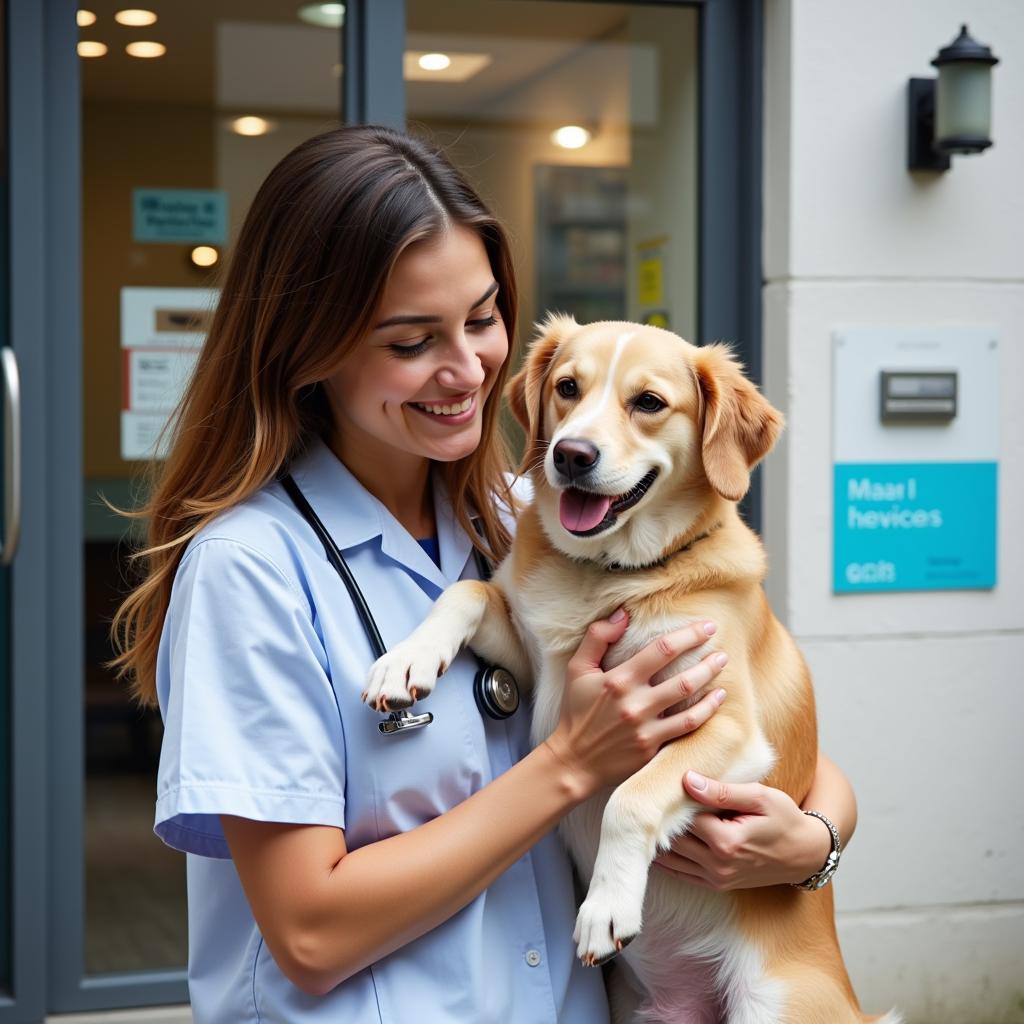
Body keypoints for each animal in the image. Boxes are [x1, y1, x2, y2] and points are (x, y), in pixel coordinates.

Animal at [364, 315, 901, 1019]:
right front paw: (405, 660)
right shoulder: (532, 664)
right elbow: (468, 592)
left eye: (648, 402)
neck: (611, 574)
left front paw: (606, 908)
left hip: (774, 1002)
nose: (571, 455)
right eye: (567, 387)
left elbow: (630, 797)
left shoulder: (729, 728)